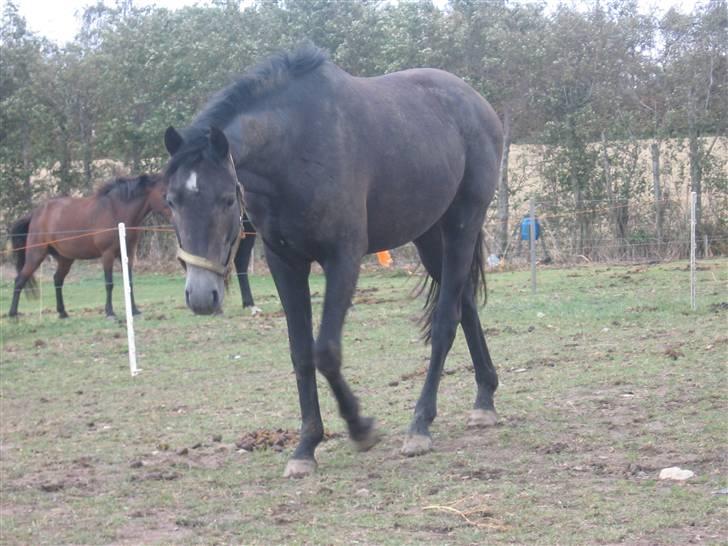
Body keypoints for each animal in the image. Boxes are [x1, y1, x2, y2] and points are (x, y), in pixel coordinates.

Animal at [8, 173, 168, 318]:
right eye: (164, 193)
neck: (116, 211)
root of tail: (35, 214)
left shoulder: (128, 253)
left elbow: (129, 282)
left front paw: (134, 311)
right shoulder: (107, 255)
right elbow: (109, 283)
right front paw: (110, 312)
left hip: (65, 259)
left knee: (57, 280)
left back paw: (62, 312)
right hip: (36, 255)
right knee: (19, 280)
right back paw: (13, 314)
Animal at [163, 44, 504, 474]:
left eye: (226, 200)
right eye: (171, 201)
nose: (201, 295)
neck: (295, 147)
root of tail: (477, 103)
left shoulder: (343, 258)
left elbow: (325, 350)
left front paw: (360, 428)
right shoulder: (284, 262)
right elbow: (300, 352)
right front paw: (305, 447)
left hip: (462, 223)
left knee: (447, 320)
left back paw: (420, 425)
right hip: (429, 237)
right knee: (465, 305)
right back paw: (484, 399)